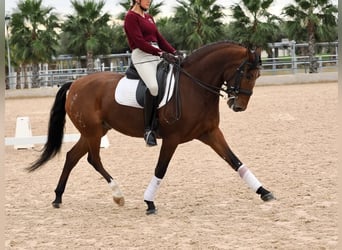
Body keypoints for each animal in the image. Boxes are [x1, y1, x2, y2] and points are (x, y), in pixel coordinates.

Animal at [28, 41, 276, 215]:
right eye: (247, 73)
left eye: (257, 75)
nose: (239, 106)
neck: (194, 87)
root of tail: (75, 84)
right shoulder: (172, 138)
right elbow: (161, 169)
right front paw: (149, 202)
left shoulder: (211, 133)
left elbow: (235, 162)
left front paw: (264, 192)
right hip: (93, 132)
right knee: (93, 159)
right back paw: (118, 195)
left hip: (94, 131)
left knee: (72, 157)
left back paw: (58, 197)